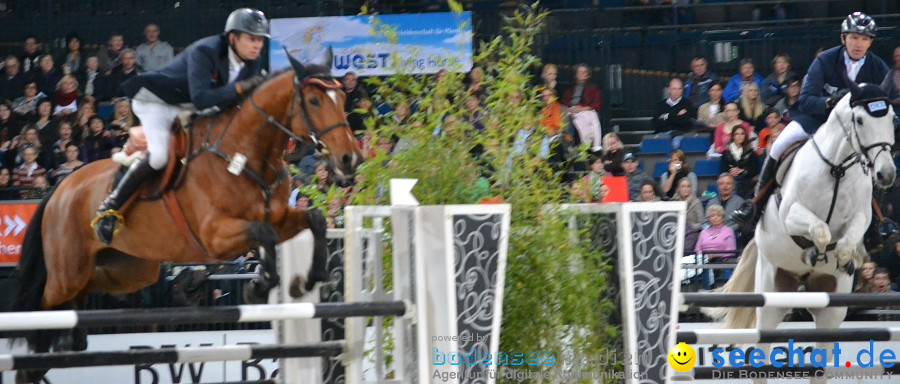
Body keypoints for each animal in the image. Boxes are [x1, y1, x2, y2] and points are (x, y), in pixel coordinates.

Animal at [9, 52, 362, 382]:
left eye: (342, 99)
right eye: (314, 100)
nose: (350, 159)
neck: (245, 157)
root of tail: (58, 189)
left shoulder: (279, 217)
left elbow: (314, 220)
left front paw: (307, 281)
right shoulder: (215, 236)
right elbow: (265, 234)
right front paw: (259, 287)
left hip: (126, 271)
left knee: (82, 295)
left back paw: (70, 340)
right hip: (66, 275)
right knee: (41, 310)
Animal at [712, 76, 892, 382]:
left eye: (892, 118)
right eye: (859, 120)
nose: (887, 174)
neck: (837, 169)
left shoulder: (860, 216)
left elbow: (846, 239)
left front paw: (848, 259)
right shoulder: (791, 214)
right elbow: (820, 230)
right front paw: (814, 253)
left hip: (830, 311)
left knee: (821, 356)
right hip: (771, 295)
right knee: (763, 348)